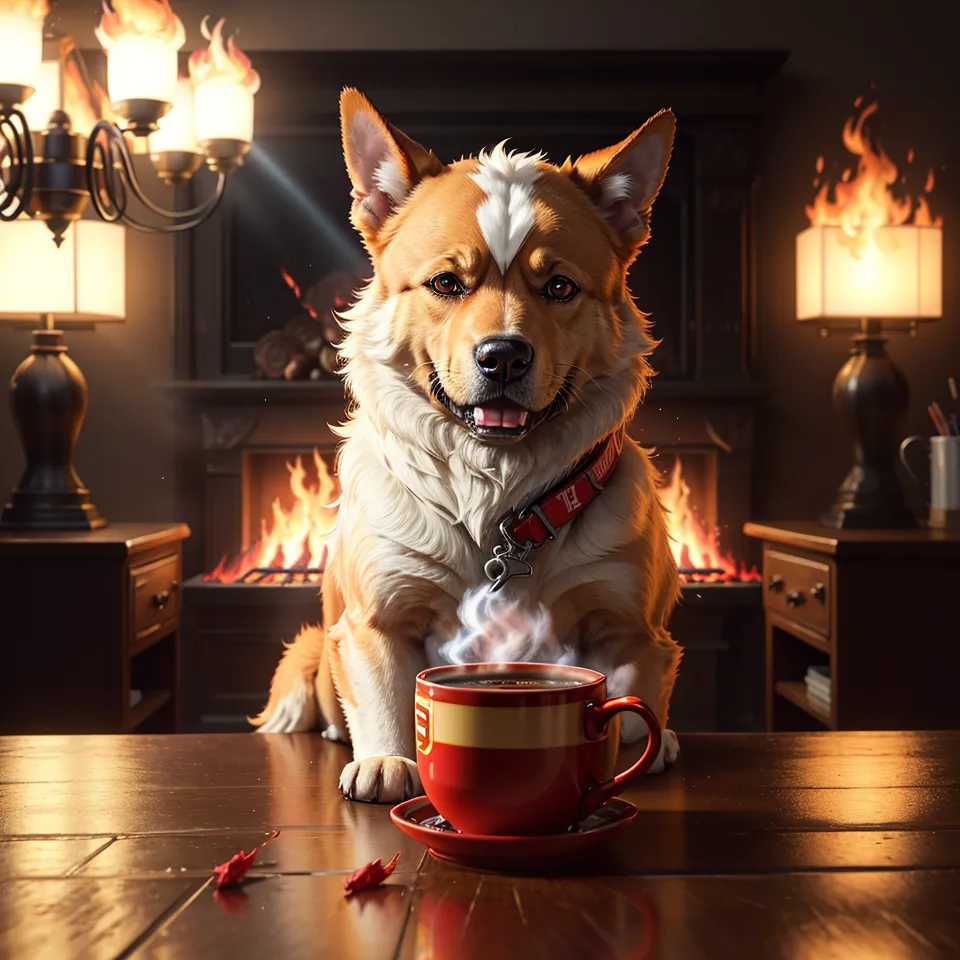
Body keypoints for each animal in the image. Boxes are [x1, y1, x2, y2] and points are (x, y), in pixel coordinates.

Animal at [248, 88, 684, 804]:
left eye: (559, 286)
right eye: (446, 284)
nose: (503, 355)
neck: (497, 498)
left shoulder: (635, 628)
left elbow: (629, 696)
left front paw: (634, 746)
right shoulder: (377, 616)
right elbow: (386, 698)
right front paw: (386, 762)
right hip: (309, 650)